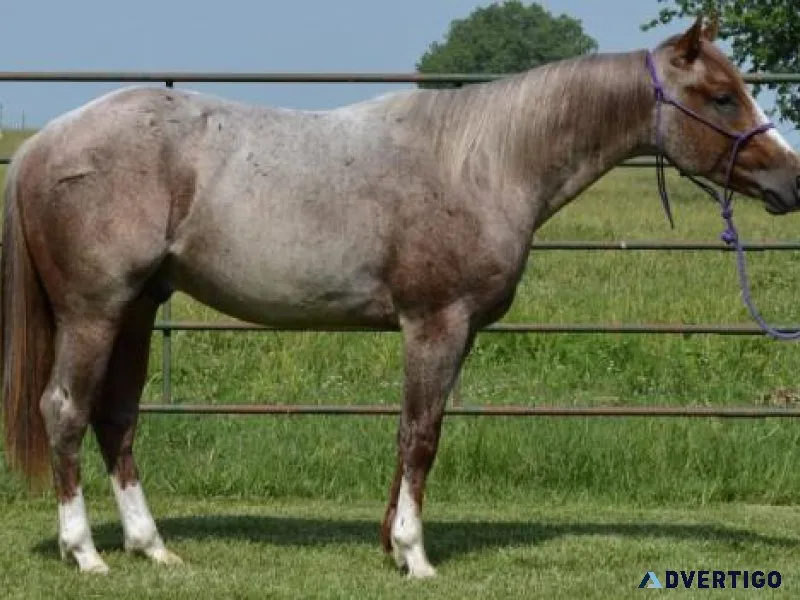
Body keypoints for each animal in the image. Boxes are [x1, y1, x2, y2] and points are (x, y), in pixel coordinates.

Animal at [2, 16, 799, 578]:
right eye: (722, 96)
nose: (791, 181)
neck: (484, 160)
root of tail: (44, 142)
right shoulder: (435, 324)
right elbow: (422, 434)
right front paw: (415, 555)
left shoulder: (450, 331)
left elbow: (411, 430)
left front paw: (391, 542)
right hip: (95, 313)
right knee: (65, 410)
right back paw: (86, 552)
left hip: (138, 310)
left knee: (116, 419)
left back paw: (151, 546)